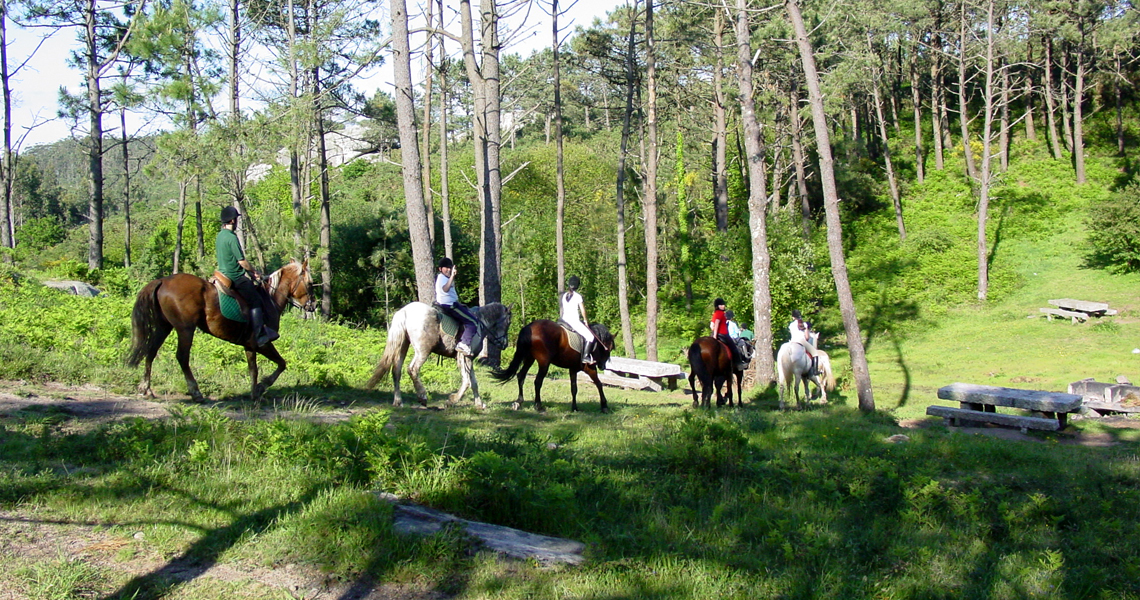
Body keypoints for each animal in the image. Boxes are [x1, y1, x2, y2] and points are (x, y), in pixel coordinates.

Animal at [126, 259, 315, 402]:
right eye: (310, 283)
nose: (312, 306)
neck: (269, 299)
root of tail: (163, 280)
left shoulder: (250, 345)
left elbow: (253, 369)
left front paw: (254, 392)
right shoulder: (263, 343)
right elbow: (281, 364)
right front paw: (262, 386)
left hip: (164, 327)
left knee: (151, 351)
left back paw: (145, 389)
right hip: (185, 329)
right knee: (182, 357)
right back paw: (196, 393)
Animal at [363, 301, 512, 408]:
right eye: (508, 322)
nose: (504, 344)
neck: (480, 323)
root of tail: (405, 311)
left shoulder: (469, 358)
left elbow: (474, 383)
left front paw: (479, 404)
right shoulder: (464, 357)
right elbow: (467, 381)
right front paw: (452, 400)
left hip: (402, 347)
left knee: (396, 371)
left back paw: (398, 401)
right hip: (423, 351)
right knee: (412, 369)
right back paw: (422, 397)